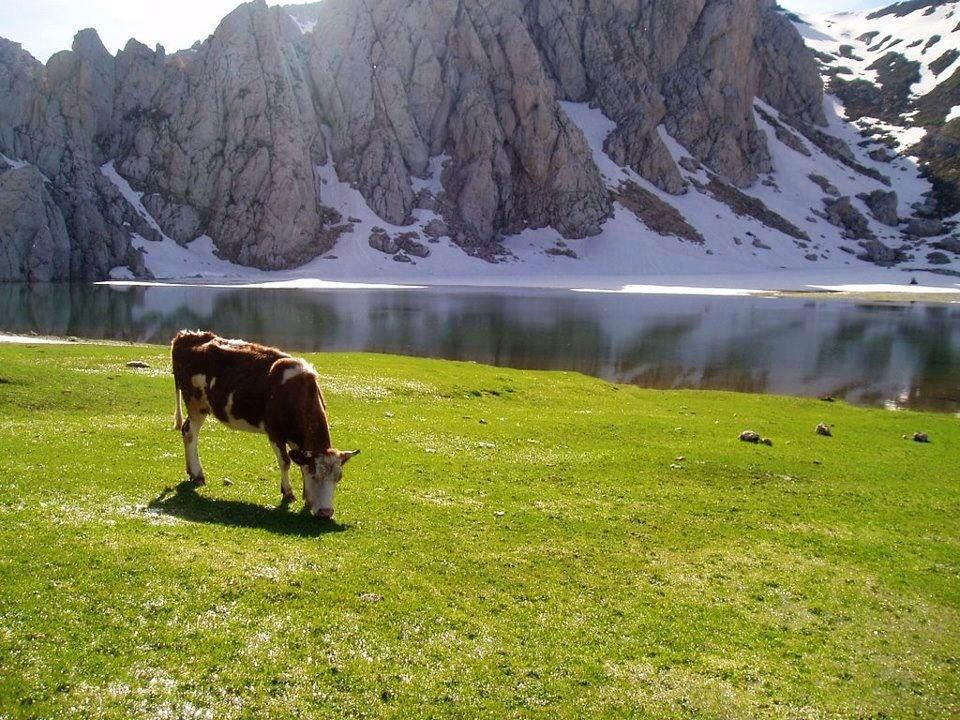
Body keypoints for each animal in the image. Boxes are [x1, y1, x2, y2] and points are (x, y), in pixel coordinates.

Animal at [171, 332, 358, 516]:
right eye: (315, 476)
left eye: (338, 477)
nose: (325, 512)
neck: (295, 392)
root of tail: (186, 335)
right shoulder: (274, 432)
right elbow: (286, 462)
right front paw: (288, 492)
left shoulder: (297, 439)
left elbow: (301, 464)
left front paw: (307, 498)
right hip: (197, 404)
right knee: (190, 434)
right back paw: (198, 474)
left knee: (185, 430)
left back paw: (191, 471)